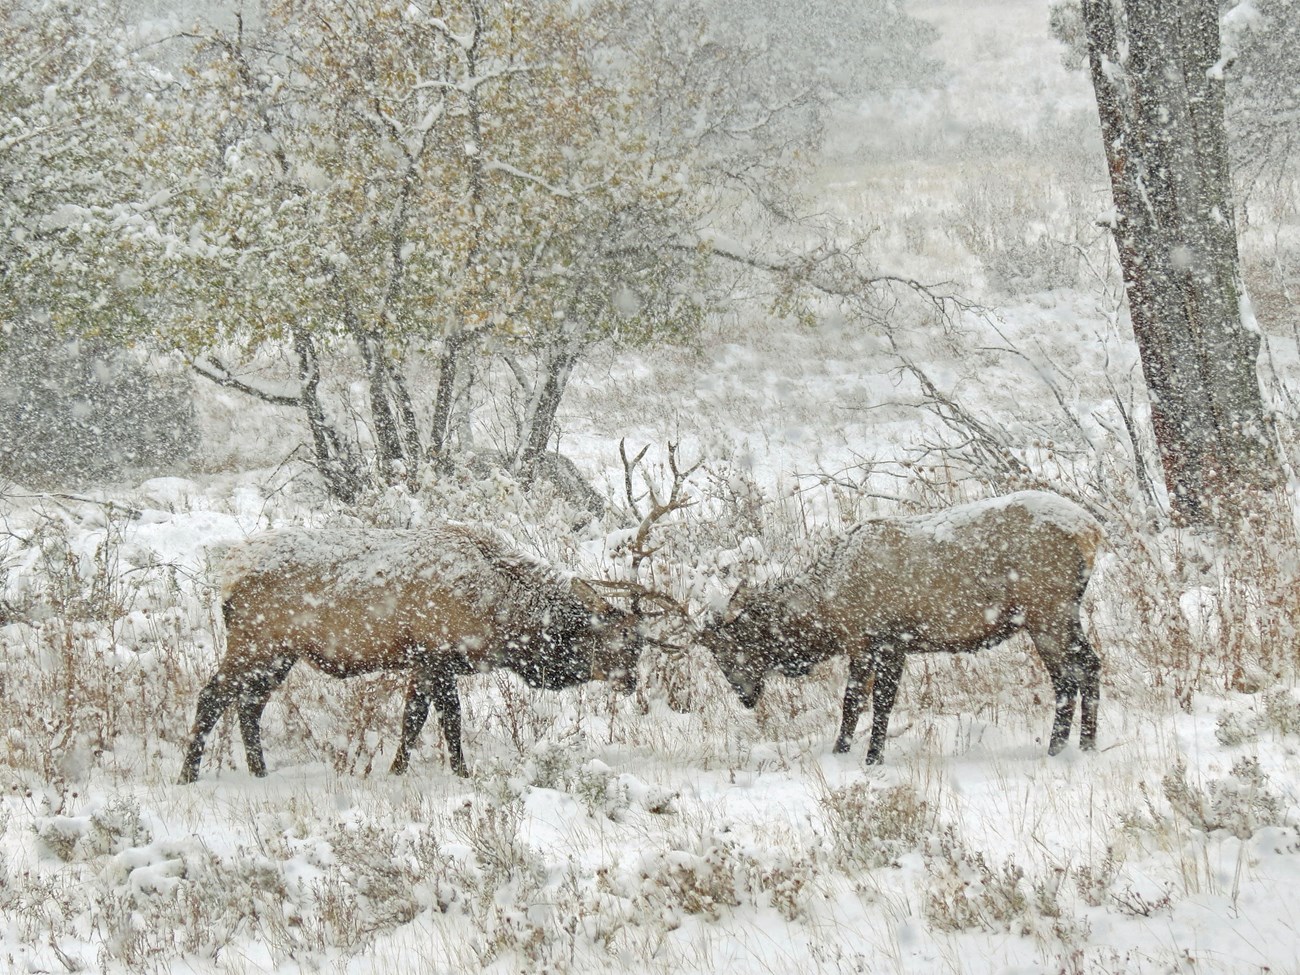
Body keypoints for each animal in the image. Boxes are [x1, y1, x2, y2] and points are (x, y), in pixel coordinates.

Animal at [180, 522, 642, 785]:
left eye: (639, 643)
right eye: (620, 640)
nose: (633, 682)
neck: (501, 612)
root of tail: (227, 574)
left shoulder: (421, 662)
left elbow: (412, 720)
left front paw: (396, 770)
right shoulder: (438, 656)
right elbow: (450, 720)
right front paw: (462, 772)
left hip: (280, 654)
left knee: (249, 703)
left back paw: (258, 771)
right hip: (256, 643)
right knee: (213, 695)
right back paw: (188, 774)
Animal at [707, 491, 1102, 769]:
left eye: (729, 649)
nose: (744, 697)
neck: (829, 611)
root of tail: (1092, 531)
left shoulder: (880, 641)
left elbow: (864, 702)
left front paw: (862, 756)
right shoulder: (883, 646)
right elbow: (865, 702)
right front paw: (851, 753)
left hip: (1048, 612)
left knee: (1074, 673)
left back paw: (1061, 749)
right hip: (1056, 615)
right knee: (1082, 669)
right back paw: (1081, 746)